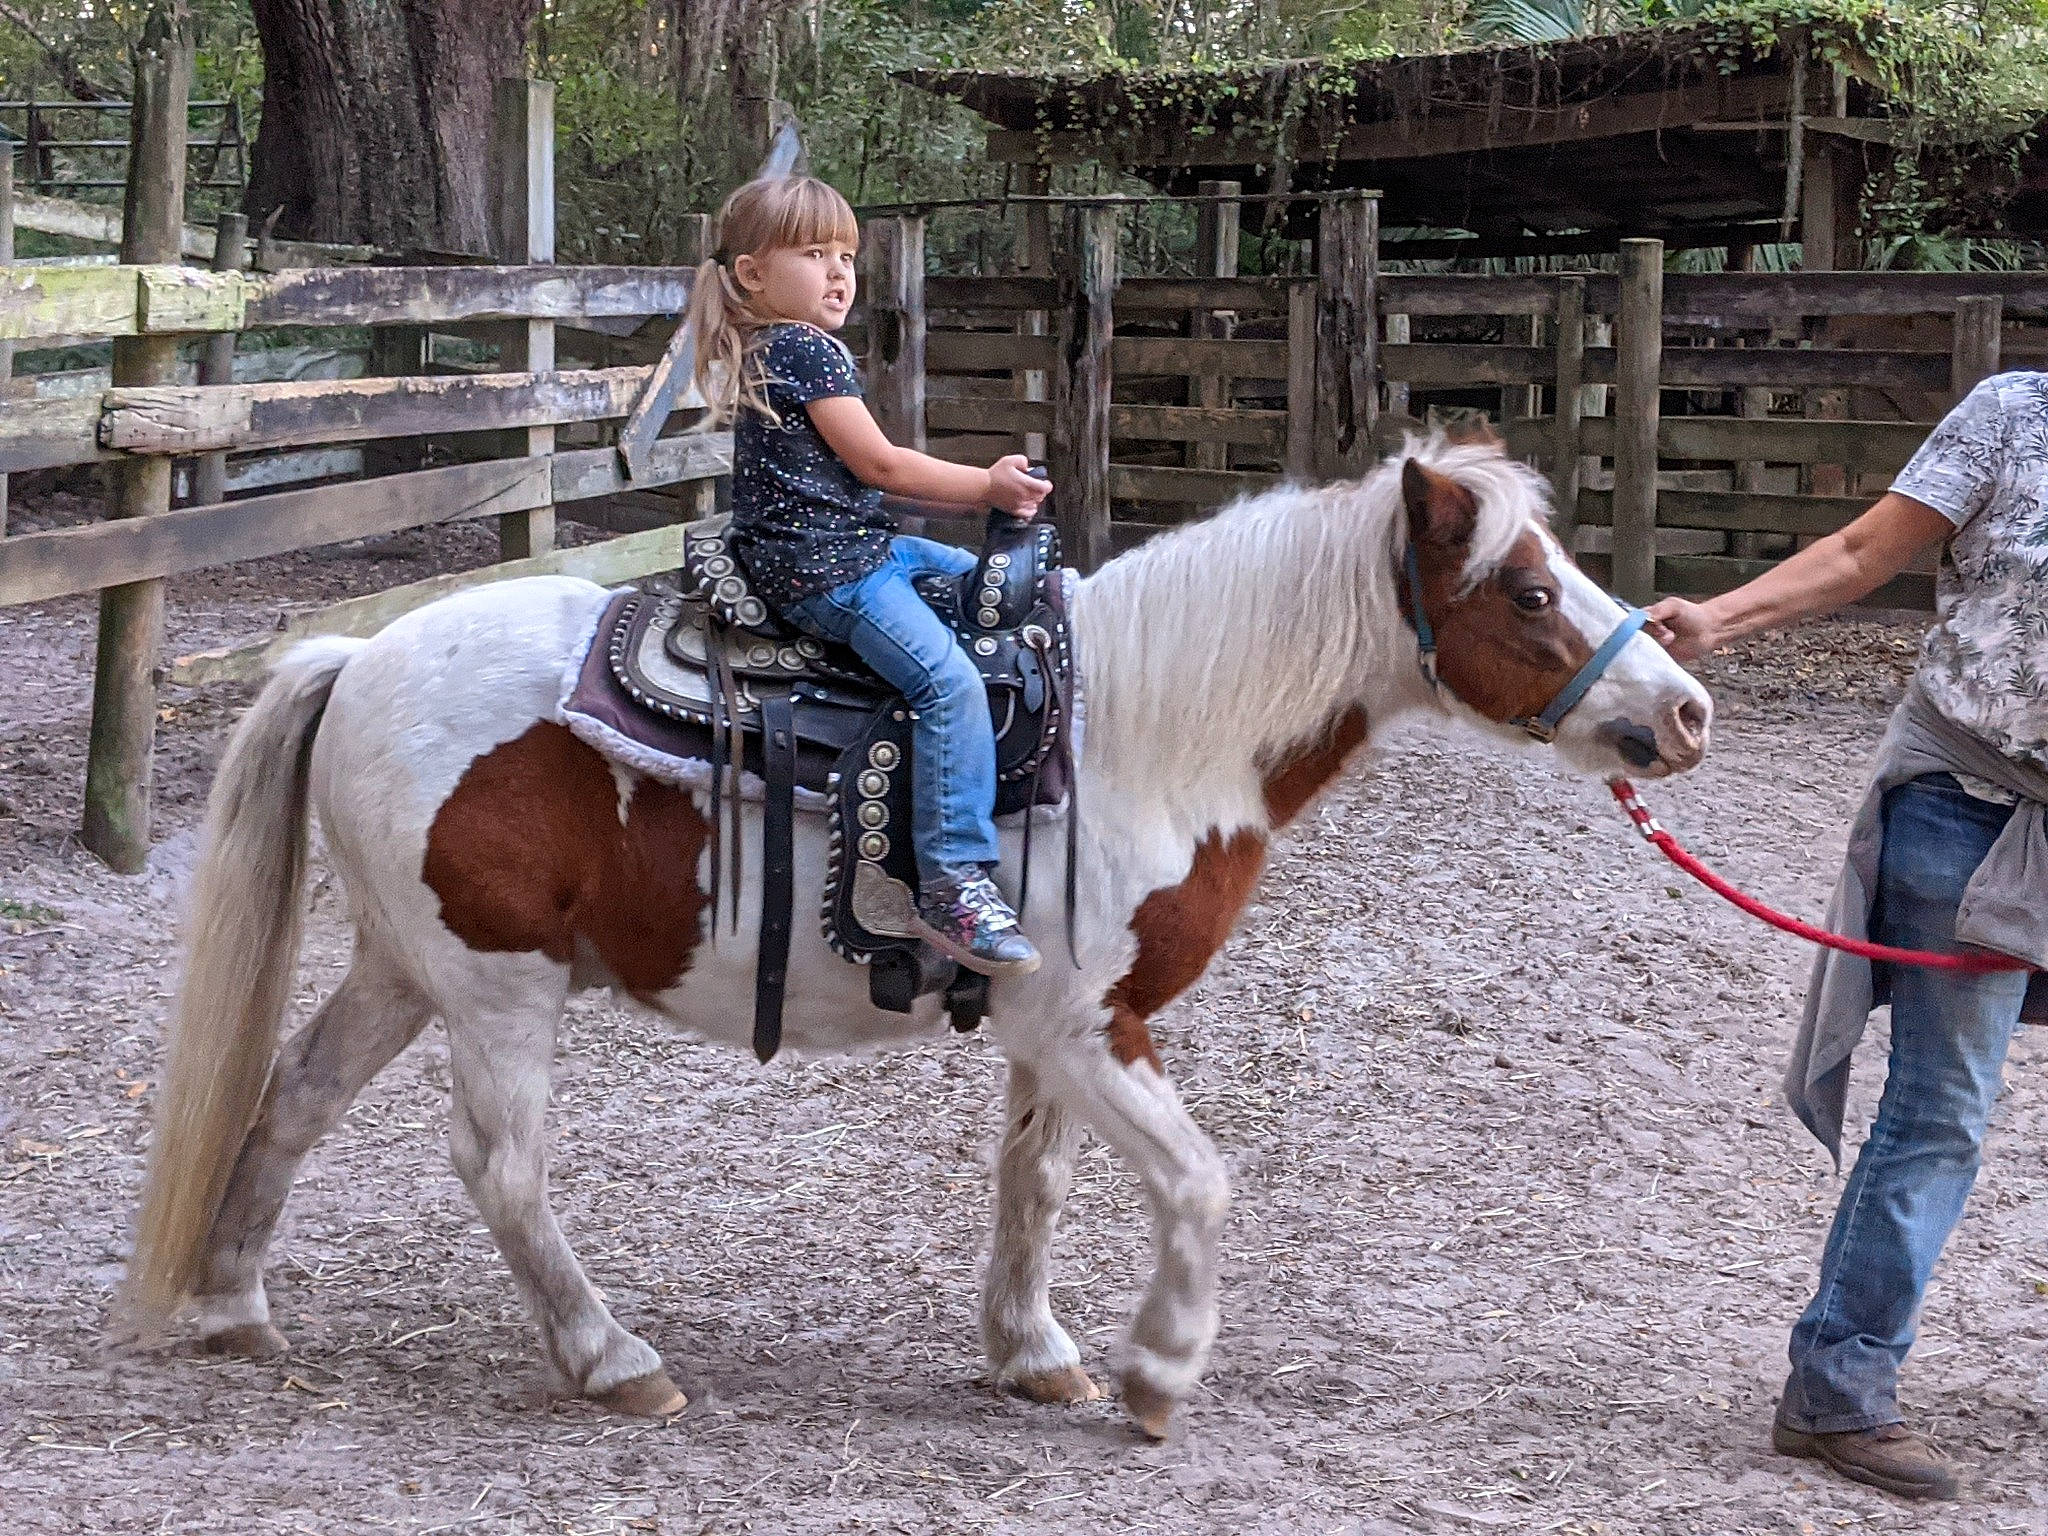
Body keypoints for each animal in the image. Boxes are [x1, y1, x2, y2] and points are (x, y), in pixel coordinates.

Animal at [118, 434, 1711, 1439]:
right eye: (1527, 589)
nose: (1686, 709)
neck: (1140, 737)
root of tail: (357, 656)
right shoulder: (1090, 1025)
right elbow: (1198, 1184)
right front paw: (1157, 1370)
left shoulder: (1050, 1032)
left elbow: (1035, 1189)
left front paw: (1036, 1355)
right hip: (500, 991)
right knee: (502, 1170)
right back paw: (613, 1359)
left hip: (408, 969)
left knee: (292, 1099)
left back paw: (232, 1305)